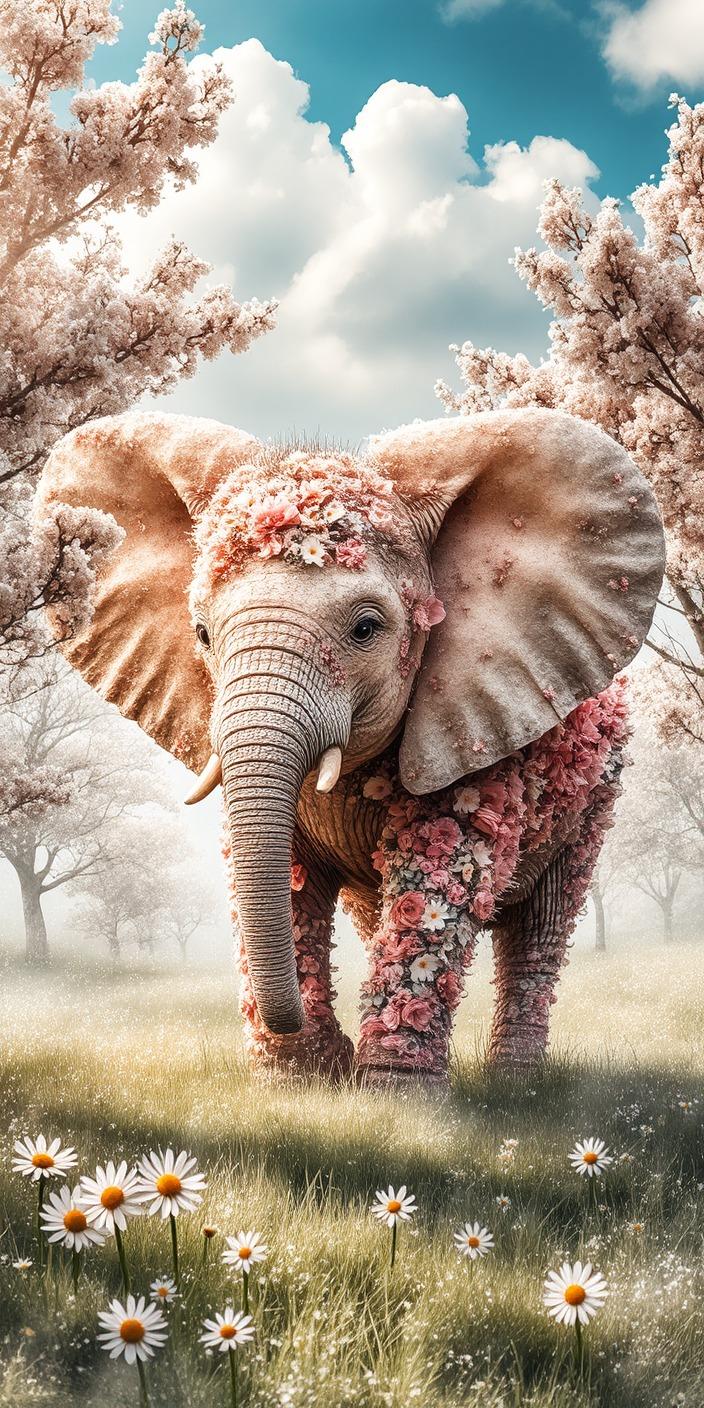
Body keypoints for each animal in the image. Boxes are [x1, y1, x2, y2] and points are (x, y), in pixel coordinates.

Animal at [37, 406, 665, 1087]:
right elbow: (293, 880)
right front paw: (302, 1080)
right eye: (200, 632)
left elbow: (437, 885)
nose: (297, 1034)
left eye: (367, 628)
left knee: (539, 929)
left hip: (593, 801)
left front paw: (393, 1094)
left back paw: (515, 1084)